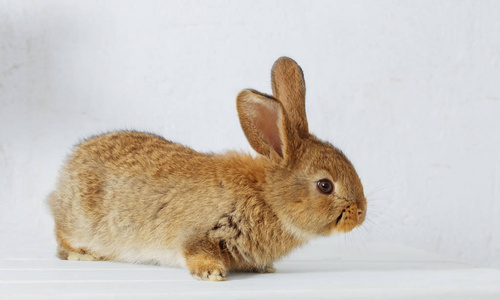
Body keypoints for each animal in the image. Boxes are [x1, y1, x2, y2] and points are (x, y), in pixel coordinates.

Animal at [47, 56, 368, 282]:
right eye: (325, 185)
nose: (361, 212)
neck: (268, 198)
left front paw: (265, 268)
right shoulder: (199, 233)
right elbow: (196, 252)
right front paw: (212, 273)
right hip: (80, 223)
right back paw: (83, 256)